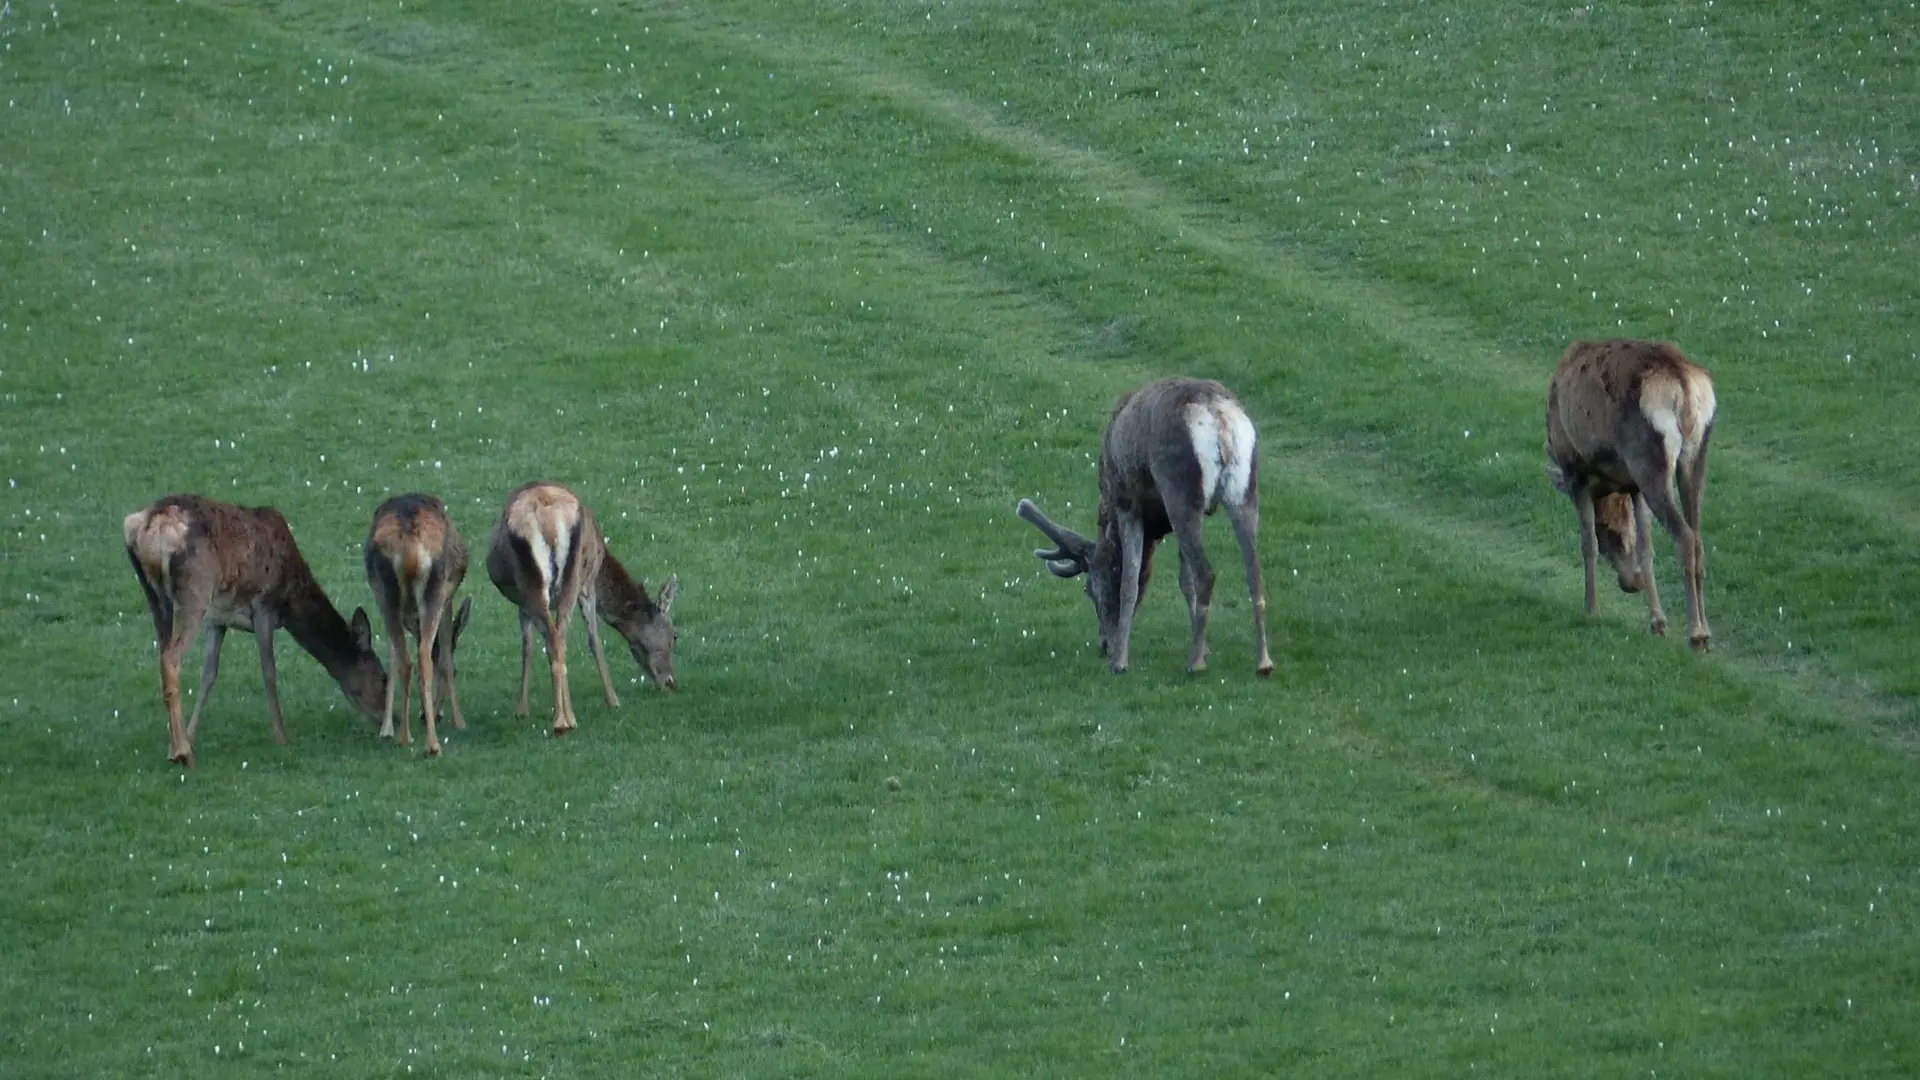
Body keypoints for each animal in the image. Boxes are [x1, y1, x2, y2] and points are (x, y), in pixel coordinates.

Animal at [122, 491, 385, 760]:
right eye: (382, 677)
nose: (390, 718)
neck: (291, 600)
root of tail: (147, 523)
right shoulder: (264, 605)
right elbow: (269, 670)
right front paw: (282, 737)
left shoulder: (217, 620)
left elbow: (209, 675)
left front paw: (191, 735)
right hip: (195, 592)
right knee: (171, 658)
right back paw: (182, 753)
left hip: (155, 594)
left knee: (163, 653)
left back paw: (175, 747)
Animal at [364, 490, 474, 753]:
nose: (430, 714)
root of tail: (410, 550)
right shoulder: (448, 598)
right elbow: (444, 659)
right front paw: (459, 721)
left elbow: (392, 657)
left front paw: (386, 730)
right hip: (435, 588)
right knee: (423, 655)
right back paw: (430, 743)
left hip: (385, 593)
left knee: (406, 659)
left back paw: (406, 736)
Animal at [483, 478, 679, 730]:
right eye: (675, 635)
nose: (671, 682)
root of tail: (546, 518)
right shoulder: (588, 583)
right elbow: (595, 640)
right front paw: (613, 700)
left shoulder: (523, 602)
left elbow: (529, 647)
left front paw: (521, 710)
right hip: (571, 579)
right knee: (560, 639)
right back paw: (566, 719)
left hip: (536, 586)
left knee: (556, 640)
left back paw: (562, 719)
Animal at [1021, 376, 1274, 672]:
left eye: (1089, 589)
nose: (1104, 644)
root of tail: (1218, 417)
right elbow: (1184, 581)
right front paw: (1205, 647)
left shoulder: (1128, 504)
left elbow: (1130, 582)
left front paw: (1120, 661)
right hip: (1244, 489)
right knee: (1254, 572)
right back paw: (1263, 662)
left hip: (1179, 488)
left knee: (1206, 573)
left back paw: (1195, 664)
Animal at [1551, 334, 1720, 645]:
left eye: (1608, 533)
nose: (1631, 584)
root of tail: (1683, 384)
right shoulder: (1633, 487)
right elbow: (1646, 548)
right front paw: (1657, 621)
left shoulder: (1574, 467)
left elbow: (1587, 544)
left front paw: (1591, 608)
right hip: (1694, 456)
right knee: (1698, 536)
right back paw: (1705, 628)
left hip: (1649, 459)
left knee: (1685, 535)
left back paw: (1696, 633)